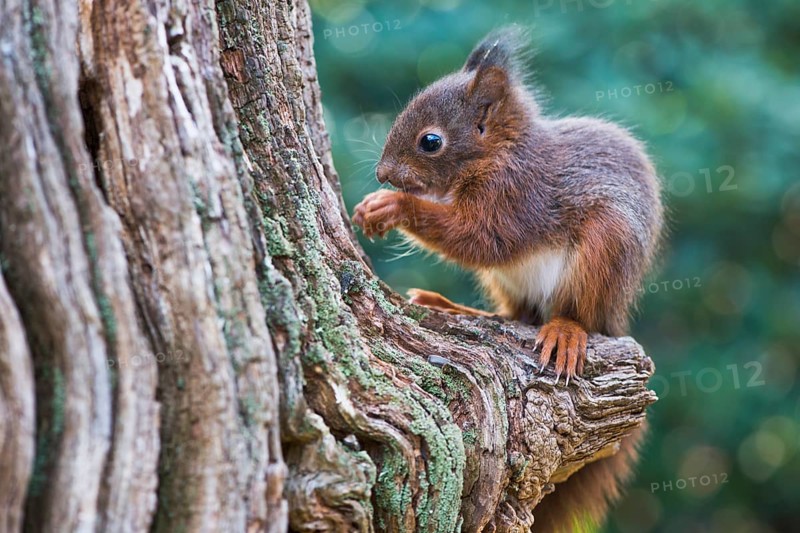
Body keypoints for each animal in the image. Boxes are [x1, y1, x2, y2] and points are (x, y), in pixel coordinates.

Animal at [352, 26, 663, 532]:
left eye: (431, 141)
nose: (383, 175)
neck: (499, 153)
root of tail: (613, 312)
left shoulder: (516, 196)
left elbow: (479, 238)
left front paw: (391, 205)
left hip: (604, 251)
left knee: (574, 314)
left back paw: (566, 331)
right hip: (508, 283)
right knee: (516, 313)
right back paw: (449, 305)